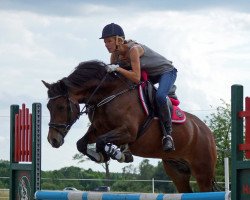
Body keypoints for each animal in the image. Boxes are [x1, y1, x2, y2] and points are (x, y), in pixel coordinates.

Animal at [43, 60, 217, 193]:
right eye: (48, 107)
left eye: (61, 107)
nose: (53, 140)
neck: (109, 94)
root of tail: (207, 131)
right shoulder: (98, 129)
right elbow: (82, 143)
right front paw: (101, 156)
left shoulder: (128, 132)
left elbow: (101, 142)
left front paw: (116, 154)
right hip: (177, 170)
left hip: (203, 171)